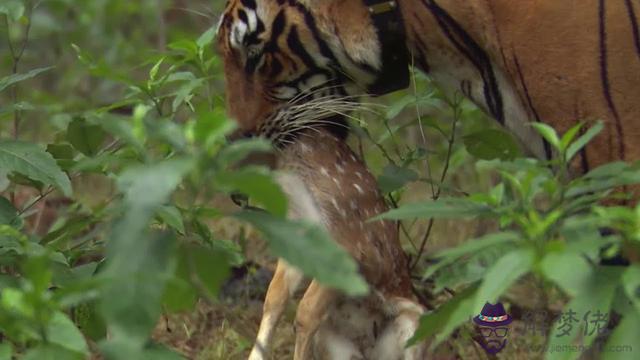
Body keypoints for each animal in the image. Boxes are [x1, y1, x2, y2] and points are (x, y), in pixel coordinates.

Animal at [248, 129, 428, 360]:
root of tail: (368, 350)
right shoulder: (298, 238)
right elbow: (274, 298)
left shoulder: (352, 248)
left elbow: (305, 313)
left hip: (415, 321)